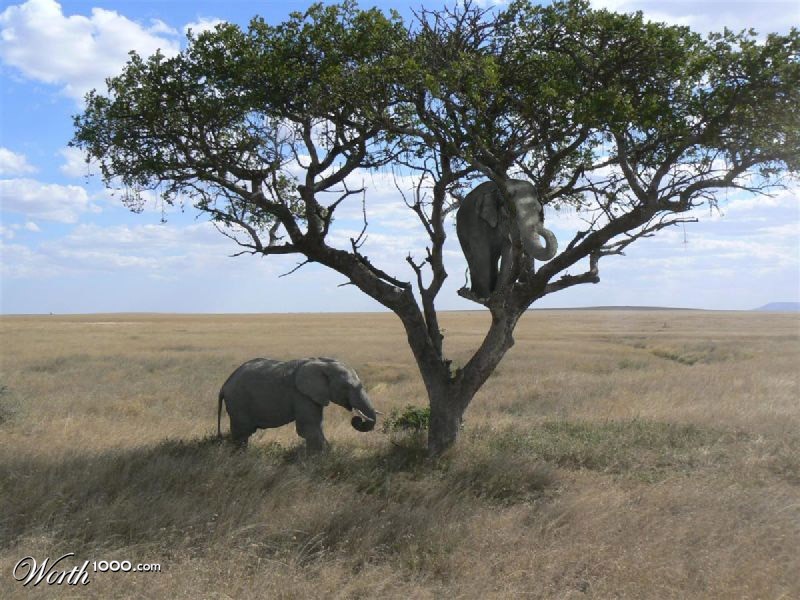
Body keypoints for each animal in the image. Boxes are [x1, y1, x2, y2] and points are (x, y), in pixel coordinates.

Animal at [217, 357, 377, 452]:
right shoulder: (301, 395)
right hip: (238, 402)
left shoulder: (313, 395)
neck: (324, 363)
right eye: (347, 387)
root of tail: (224, 385)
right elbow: (309, 429)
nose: (358, 419)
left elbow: (316, 426)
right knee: (242, 434)